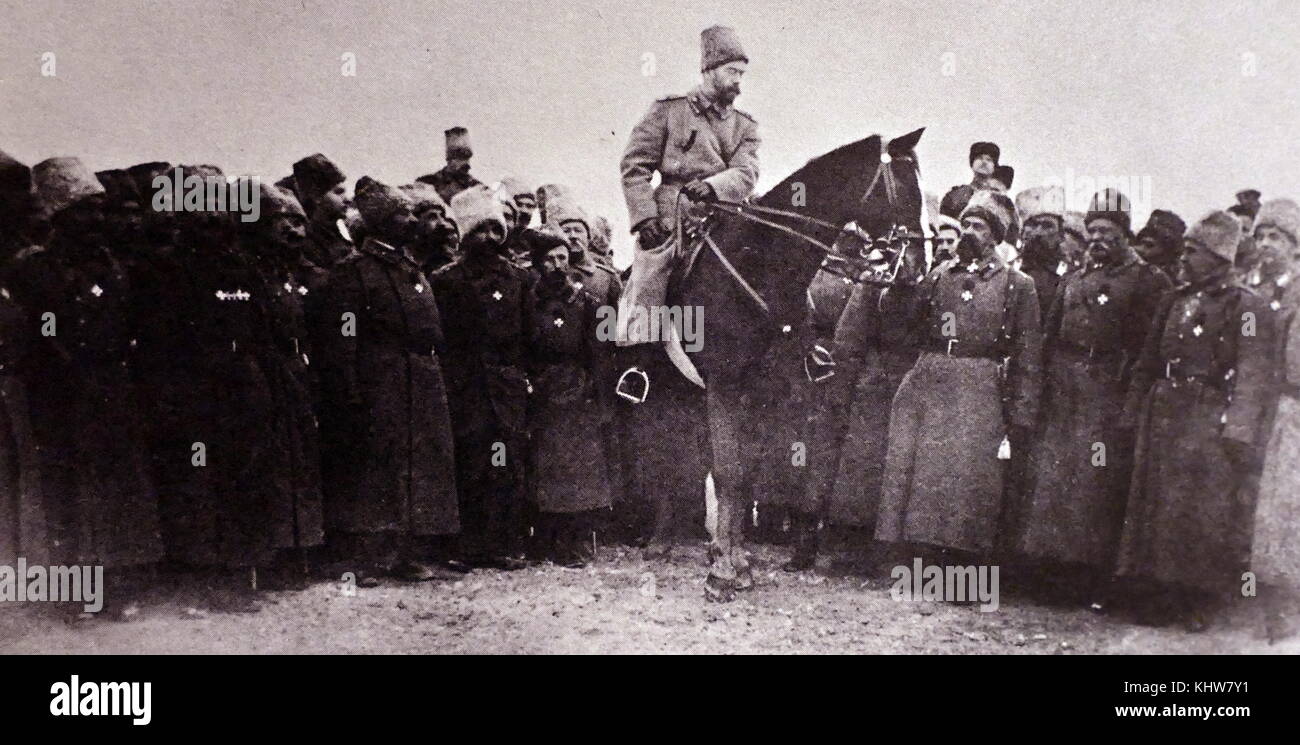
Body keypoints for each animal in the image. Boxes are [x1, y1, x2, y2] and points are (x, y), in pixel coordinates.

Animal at [670, 126, 925, 598]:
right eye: (907, 191)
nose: (917, 268)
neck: (760, 263)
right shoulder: (725, 382)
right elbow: (730, 472)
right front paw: (723, 573)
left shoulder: (762, 390)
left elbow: (745, 472)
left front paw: (736, 561)